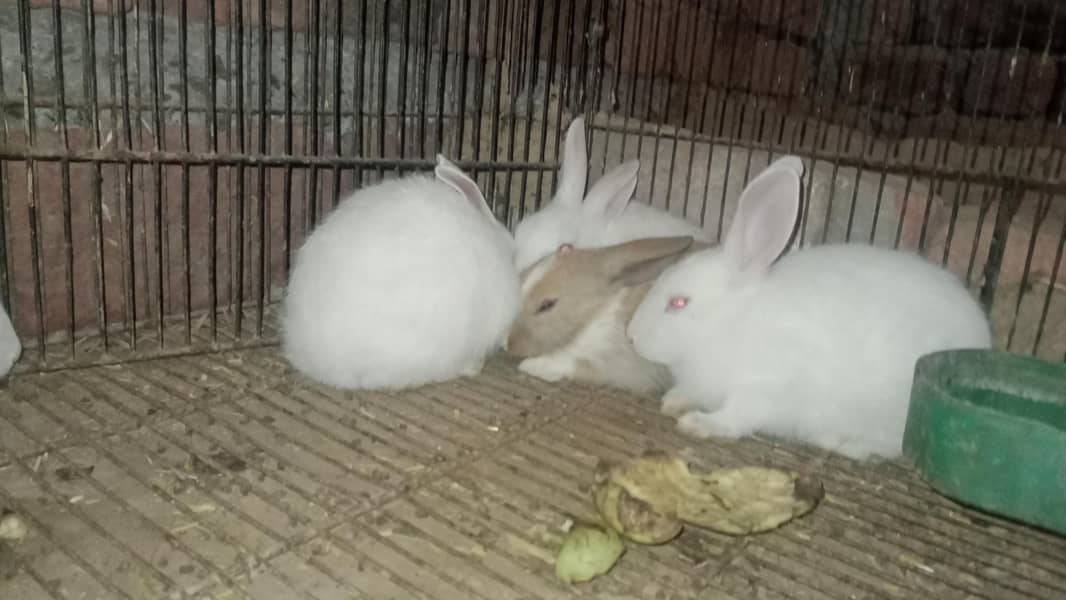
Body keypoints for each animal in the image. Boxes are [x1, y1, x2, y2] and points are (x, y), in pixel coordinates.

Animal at [506, 235, 704, 396]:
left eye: (547, 305)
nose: (507, 344)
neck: (597, 313)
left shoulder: (623, 367)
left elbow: (573, 363)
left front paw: (533, 366)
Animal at [627, 157, 992, 460]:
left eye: (678, 302)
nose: (631, 336)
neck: (731, 321)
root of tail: (984, 339)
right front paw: (675, 401)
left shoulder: (766, 386)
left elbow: (738, 415)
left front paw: (701, 424)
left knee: (890, 446)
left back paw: (841, 443)